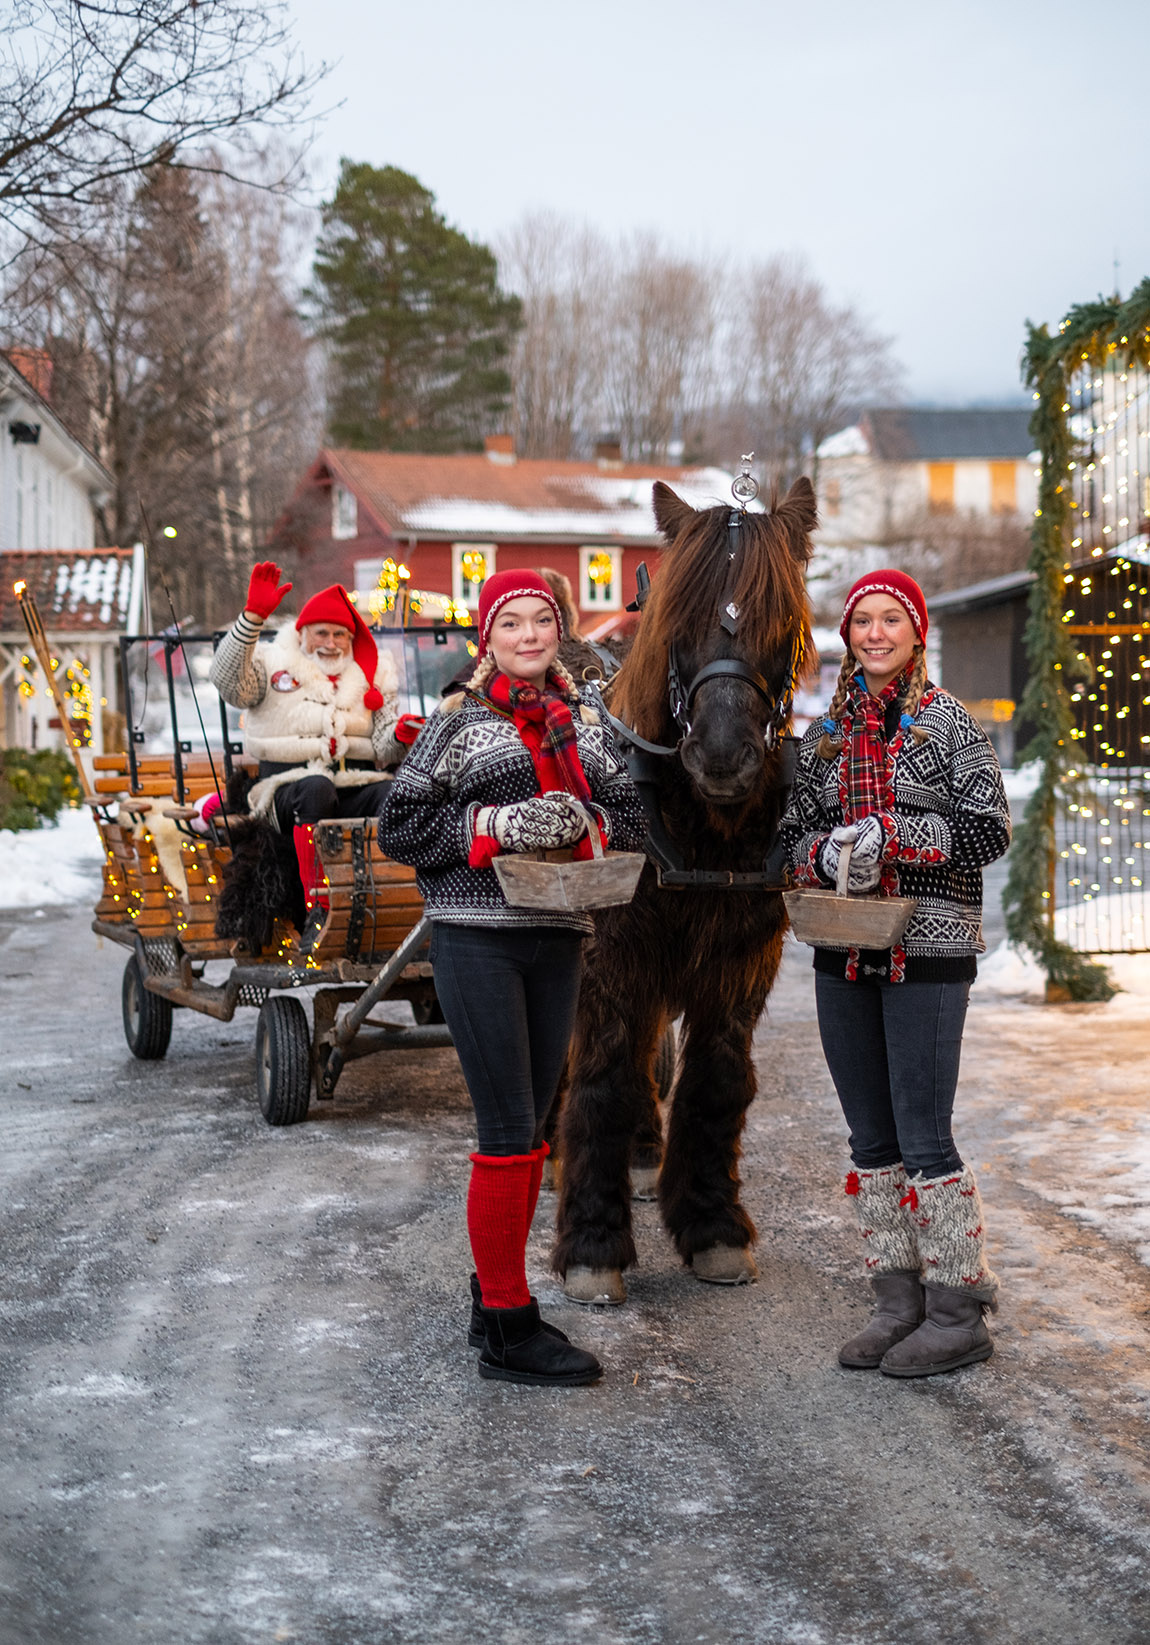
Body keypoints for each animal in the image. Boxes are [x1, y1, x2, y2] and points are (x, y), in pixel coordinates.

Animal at [549, 473, 812, 1296]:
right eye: (680, 619)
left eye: (784, 618)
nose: (723, 755)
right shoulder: (609, 952)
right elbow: (600, 1073)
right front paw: (593, 1239)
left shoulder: (742, 957)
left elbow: (717, 1079)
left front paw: (711, 1223)